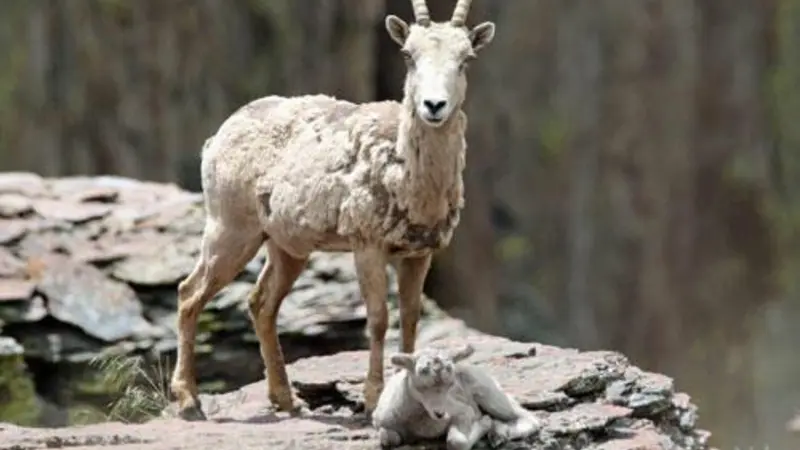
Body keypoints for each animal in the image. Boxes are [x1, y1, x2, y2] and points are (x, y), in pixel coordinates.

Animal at [168, 0, 497, 421]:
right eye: (409, 55)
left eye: (466, 59)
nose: (434, 106)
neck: (408, 181)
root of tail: (217, 137)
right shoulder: (367, 245)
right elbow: (379, 320)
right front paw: (372, 400)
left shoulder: (418, 254)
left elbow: (410, 320)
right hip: (230, 229)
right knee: (189, 294)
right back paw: (189, 402)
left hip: (285, 247)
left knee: (261, 303)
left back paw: (287, 400)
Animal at [372, 343, 541, 450]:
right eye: (420, 384)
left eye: (451, 385)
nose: (440, 414)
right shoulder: (381, 423)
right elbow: (388, 438)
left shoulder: (463, 411)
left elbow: (456, 442)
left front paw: (485, 423)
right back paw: (498, 432)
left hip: (490, 394)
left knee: (527, 417)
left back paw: (497, 434)